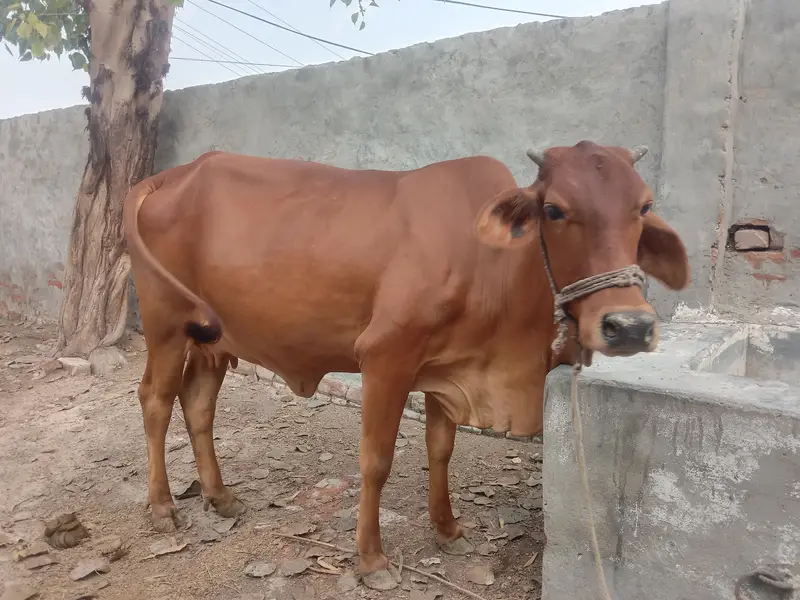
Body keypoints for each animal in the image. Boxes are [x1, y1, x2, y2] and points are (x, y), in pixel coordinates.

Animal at [123, 141, 689, 590]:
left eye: (644, 206)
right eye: (554, 209)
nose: (628, 326)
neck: (494, 267)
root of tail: (172, 174)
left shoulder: (447, 371)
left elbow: (441, 451)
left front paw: (449, 530)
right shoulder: (385, 357)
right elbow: (376, 461)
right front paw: (371, 559)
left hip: (211, 340)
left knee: (197, 405)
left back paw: (221, 498)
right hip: (166, 325)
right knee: (155, 401)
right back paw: (162, 507)